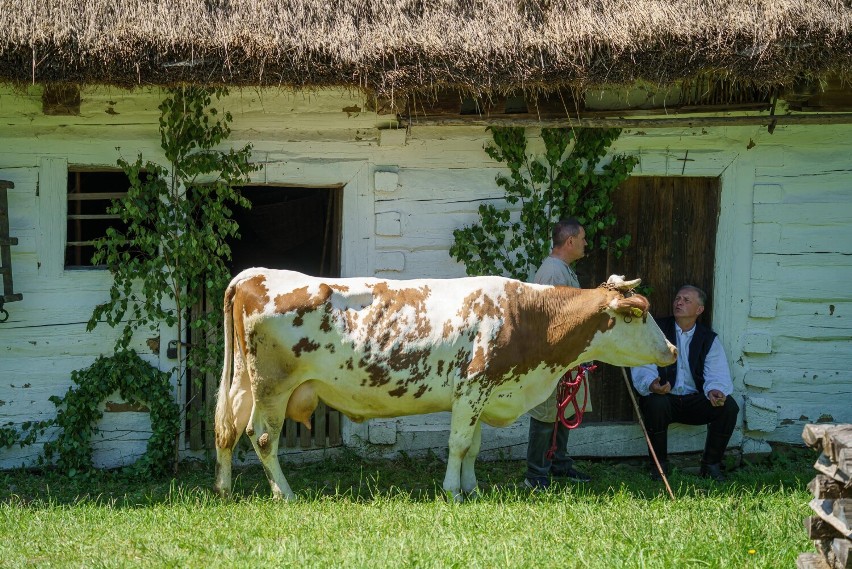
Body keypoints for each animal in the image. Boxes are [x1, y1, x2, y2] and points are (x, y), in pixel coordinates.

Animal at [215, 268, 680, 500]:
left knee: (227, 429)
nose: (673, 349)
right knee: (261, 437)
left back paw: (224, 488)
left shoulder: (482, 393)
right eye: (638, 315)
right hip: (272, 385)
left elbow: (472, 445)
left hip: (244, 383)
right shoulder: (473, 387)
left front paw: (472, 488)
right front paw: (452, 491)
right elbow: (457, 444)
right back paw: (285, 494)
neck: (527, 315)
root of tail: (255, 274)